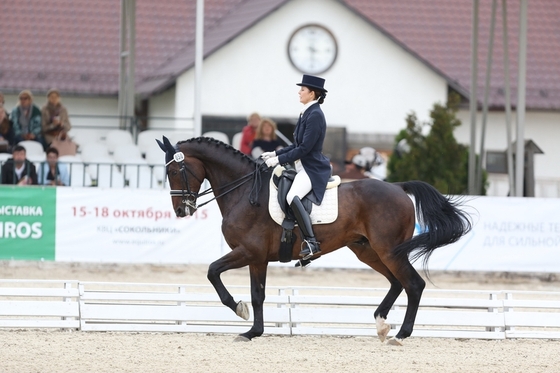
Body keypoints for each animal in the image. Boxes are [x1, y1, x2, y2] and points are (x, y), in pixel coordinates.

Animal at [155, 135, 470, 344]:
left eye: (174, 170)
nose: (181, 210)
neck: (244, 192)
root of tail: (397, 187)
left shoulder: (248, 252)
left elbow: (213, 272)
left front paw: (239, 311)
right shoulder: (257, 258)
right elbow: (258, 294)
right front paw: (253, 331)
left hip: (389, 249)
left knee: (413, 284)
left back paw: (402, 334)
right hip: (368, 250)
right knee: (396, 282)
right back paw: (381, 324)